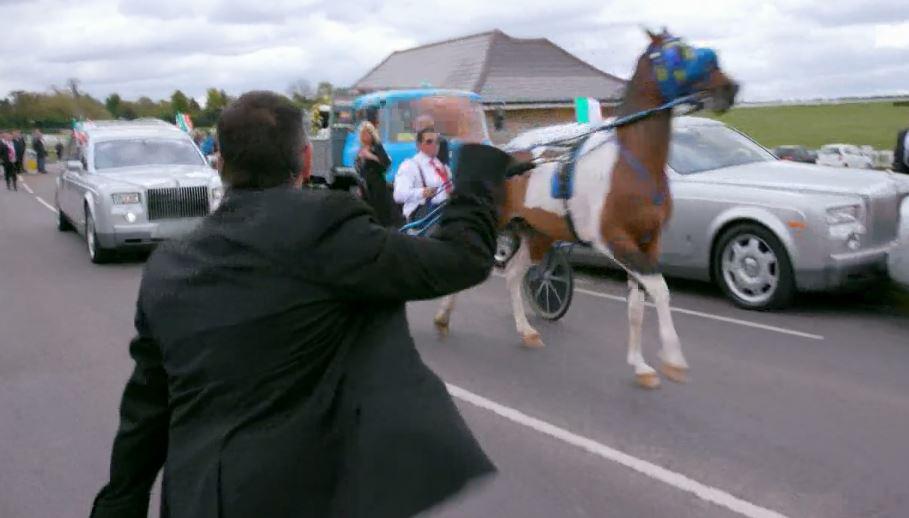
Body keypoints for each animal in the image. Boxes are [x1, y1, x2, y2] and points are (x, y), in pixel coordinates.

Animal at [432, 30, 736, 390]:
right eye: (678, 53)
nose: (729, 88)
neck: (631, 164)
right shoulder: (615, 241)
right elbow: (660, 290)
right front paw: (673, 359)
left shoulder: (647, 241)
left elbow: (637, 305)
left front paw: (641, 365)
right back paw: (443, 316)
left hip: (538, 235)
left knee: (514, 275)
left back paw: (526, 330)